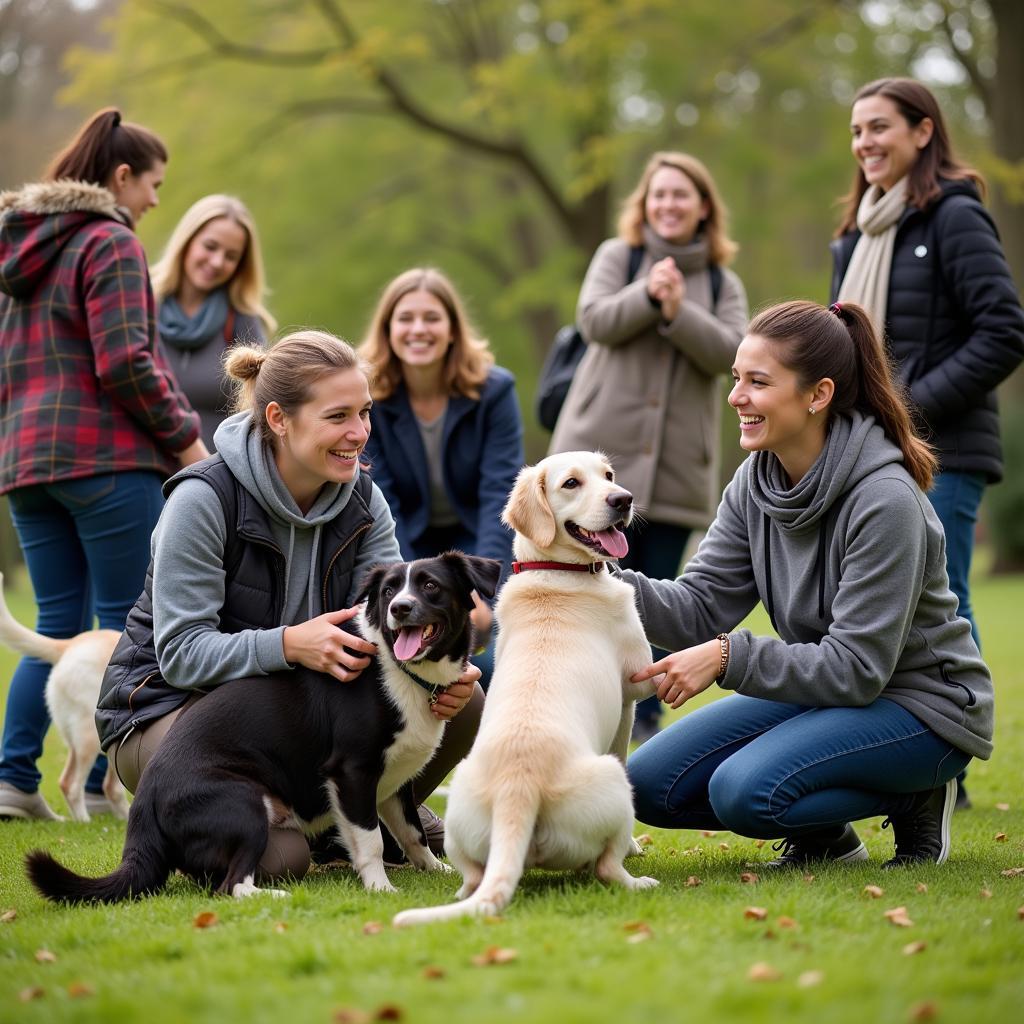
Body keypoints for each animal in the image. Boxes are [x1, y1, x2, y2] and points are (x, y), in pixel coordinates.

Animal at [27, 557, 499, 901]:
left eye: (430, 585)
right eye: (388, 592)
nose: (400, 609)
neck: (400, 668)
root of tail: (143, 804)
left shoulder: (394, 782)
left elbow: (412, 833)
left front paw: (438, 869)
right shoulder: (352, 773)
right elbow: (371, 842)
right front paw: (381, 888)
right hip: (245, 806)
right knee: (229, 887)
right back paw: (276, 896)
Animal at [391, 450, 655, 929]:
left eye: (607, 475)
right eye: (571, 483)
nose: (623, 499)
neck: (555, 573)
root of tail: (519, 791)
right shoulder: (630, 699)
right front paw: (635, 849)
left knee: (471, 881)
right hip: (612, 779)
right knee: (607, 868)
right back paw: (636, 879)